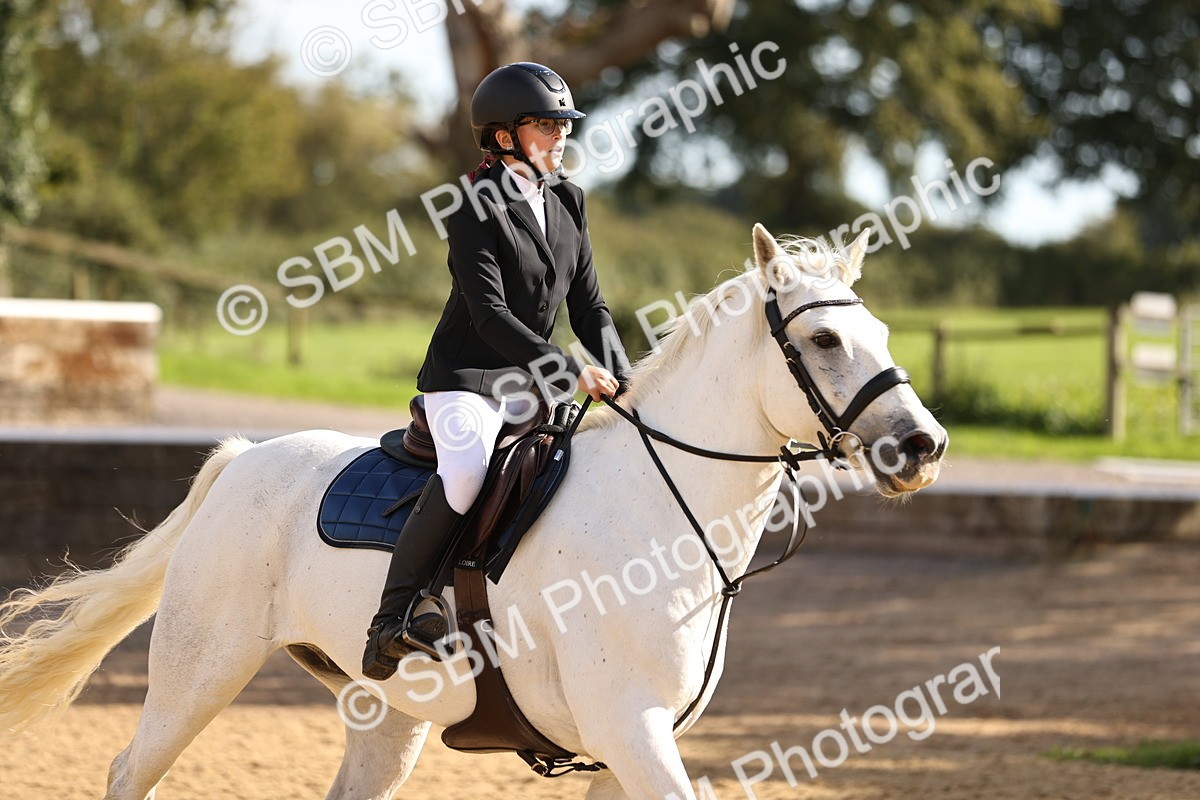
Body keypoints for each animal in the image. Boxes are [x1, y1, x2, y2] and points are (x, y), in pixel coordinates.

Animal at [0, 224, 947, 799]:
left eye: (882, 335)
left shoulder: (627, 749)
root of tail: (244, 460)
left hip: (385, 715)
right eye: (823, 339)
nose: (924, 445)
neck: (659, 514)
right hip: (200, 671)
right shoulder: (632, 729)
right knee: (133, 769)